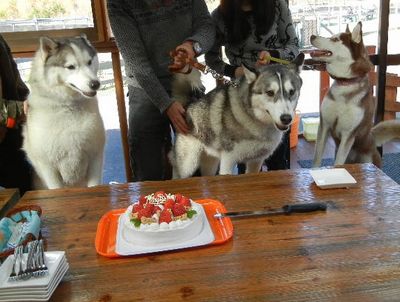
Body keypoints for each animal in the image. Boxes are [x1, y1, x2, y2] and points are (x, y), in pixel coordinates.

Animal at [22, 35, 105, 189]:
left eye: (89, 62)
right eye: (71, 67)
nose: (95, 84)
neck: (68, 106)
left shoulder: (95, 157)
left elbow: (94, 185)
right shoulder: (48, 167)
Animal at [170, 53, 304, 178]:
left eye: (291, 92)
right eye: (270, 92)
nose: (286, 118)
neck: (256, 120)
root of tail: (188, 106)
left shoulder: (256, 161)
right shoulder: (228, 160)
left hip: (211, 162)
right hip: (188, 165)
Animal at [310, 22, 400, 168]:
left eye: (335, 39)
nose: (312, 36)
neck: (345, 84)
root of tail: (371, 139)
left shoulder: (348, 134)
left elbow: (338, 163)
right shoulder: (324, 124)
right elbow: (317, 158)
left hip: (367, 157)